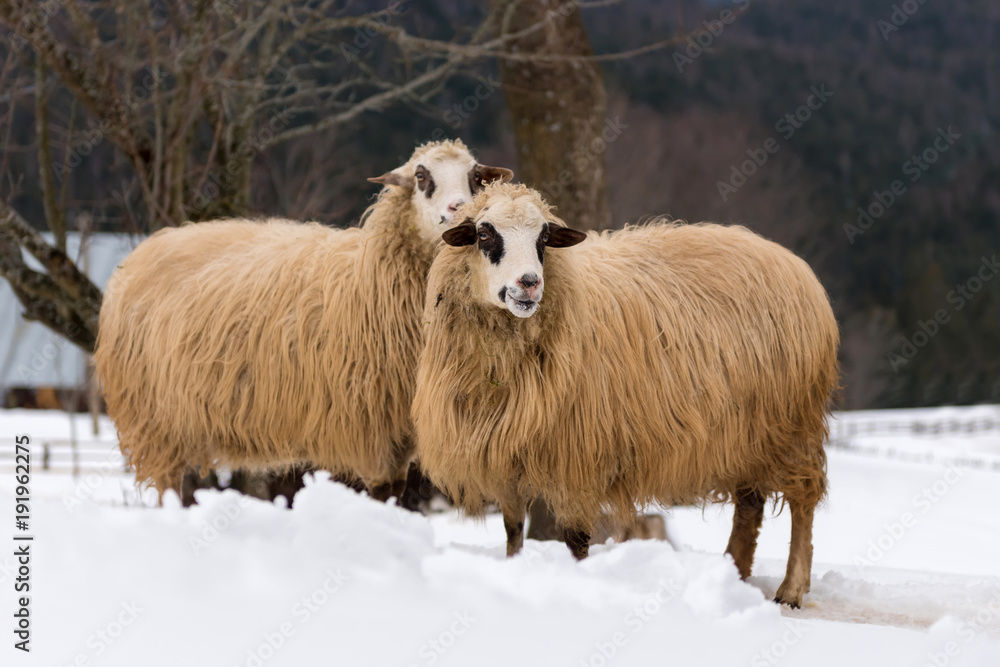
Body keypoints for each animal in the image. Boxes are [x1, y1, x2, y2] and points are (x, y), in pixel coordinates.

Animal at [94, 139, 512, 504]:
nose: (458, 209)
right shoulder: (369, 426)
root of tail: (144, 250)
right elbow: (382, 496)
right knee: (167, 484)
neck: (370, 276)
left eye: (476, 177)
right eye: (422, 176)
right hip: (153, 417)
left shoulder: (399, 430)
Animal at [412, 182, 839, 607]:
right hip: (748, 434)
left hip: (793, 424)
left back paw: (791, 589)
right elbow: (513, 531)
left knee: (803, 500)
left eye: (545, 238)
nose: (530, 283)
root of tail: (787, 259)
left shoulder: (579, 456)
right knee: (749, 506)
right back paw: (734, 575)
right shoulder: (504, 453)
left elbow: (576, 540)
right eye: (484, 234)